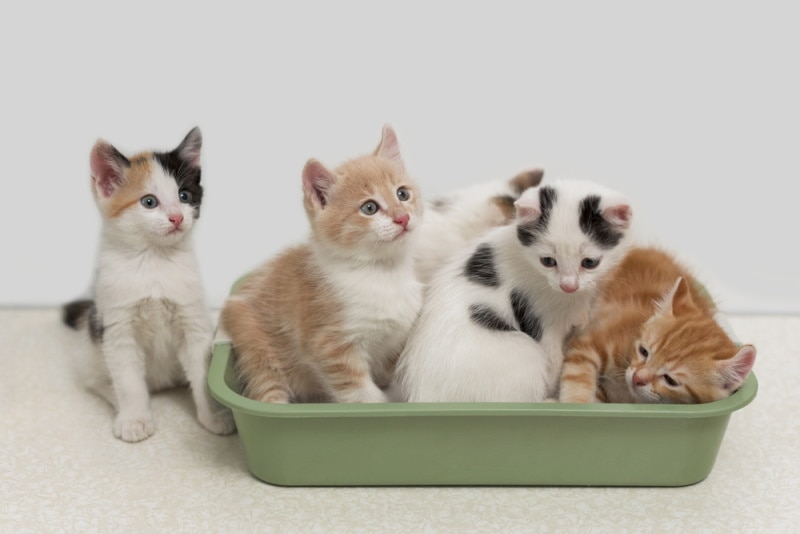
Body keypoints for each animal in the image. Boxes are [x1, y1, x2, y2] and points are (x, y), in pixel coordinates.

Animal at [62, 127, 234, 442]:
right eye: (149, 202)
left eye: (184, 195)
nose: (177, 217)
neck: (154, 261)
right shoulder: (117, 329)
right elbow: (129, 382)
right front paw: (134, 419)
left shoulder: (194, 323)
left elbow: (202, 373)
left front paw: (213, 415)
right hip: (91, 347)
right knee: (98, 381)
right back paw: (117, 399)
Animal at [216, 123, 422, 404]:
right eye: (369, 208)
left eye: (403, 194)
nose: (402, 218)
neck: (381, 271)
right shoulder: (330, 346)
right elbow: (361, 393)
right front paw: (376, 404)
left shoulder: (396, 339)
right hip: (256, 344)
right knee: (267, 388)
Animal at [556, 249, 756, 404]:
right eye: (644, 351)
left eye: (670, 380)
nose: (637, 378)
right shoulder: (588, 342)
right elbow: (578, 377)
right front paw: (575, 404)